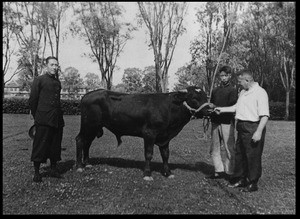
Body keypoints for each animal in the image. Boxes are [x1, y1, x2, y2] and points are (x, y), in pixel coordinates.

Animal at [75, 85, 211, 180]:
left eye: (206, 97)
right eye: (194, 98)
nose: (211, 110)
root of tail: (87, 94)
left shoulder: (165, 137)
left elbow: (165, 154)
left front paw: (168, 173)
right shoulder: (149, 133)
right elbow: (149, 154)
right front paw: (147, 174)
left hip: (93, 128)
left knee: (87, 143)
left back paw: (87, 163)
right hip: (88, 125)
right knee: (80, 140)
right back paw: (79, 166)